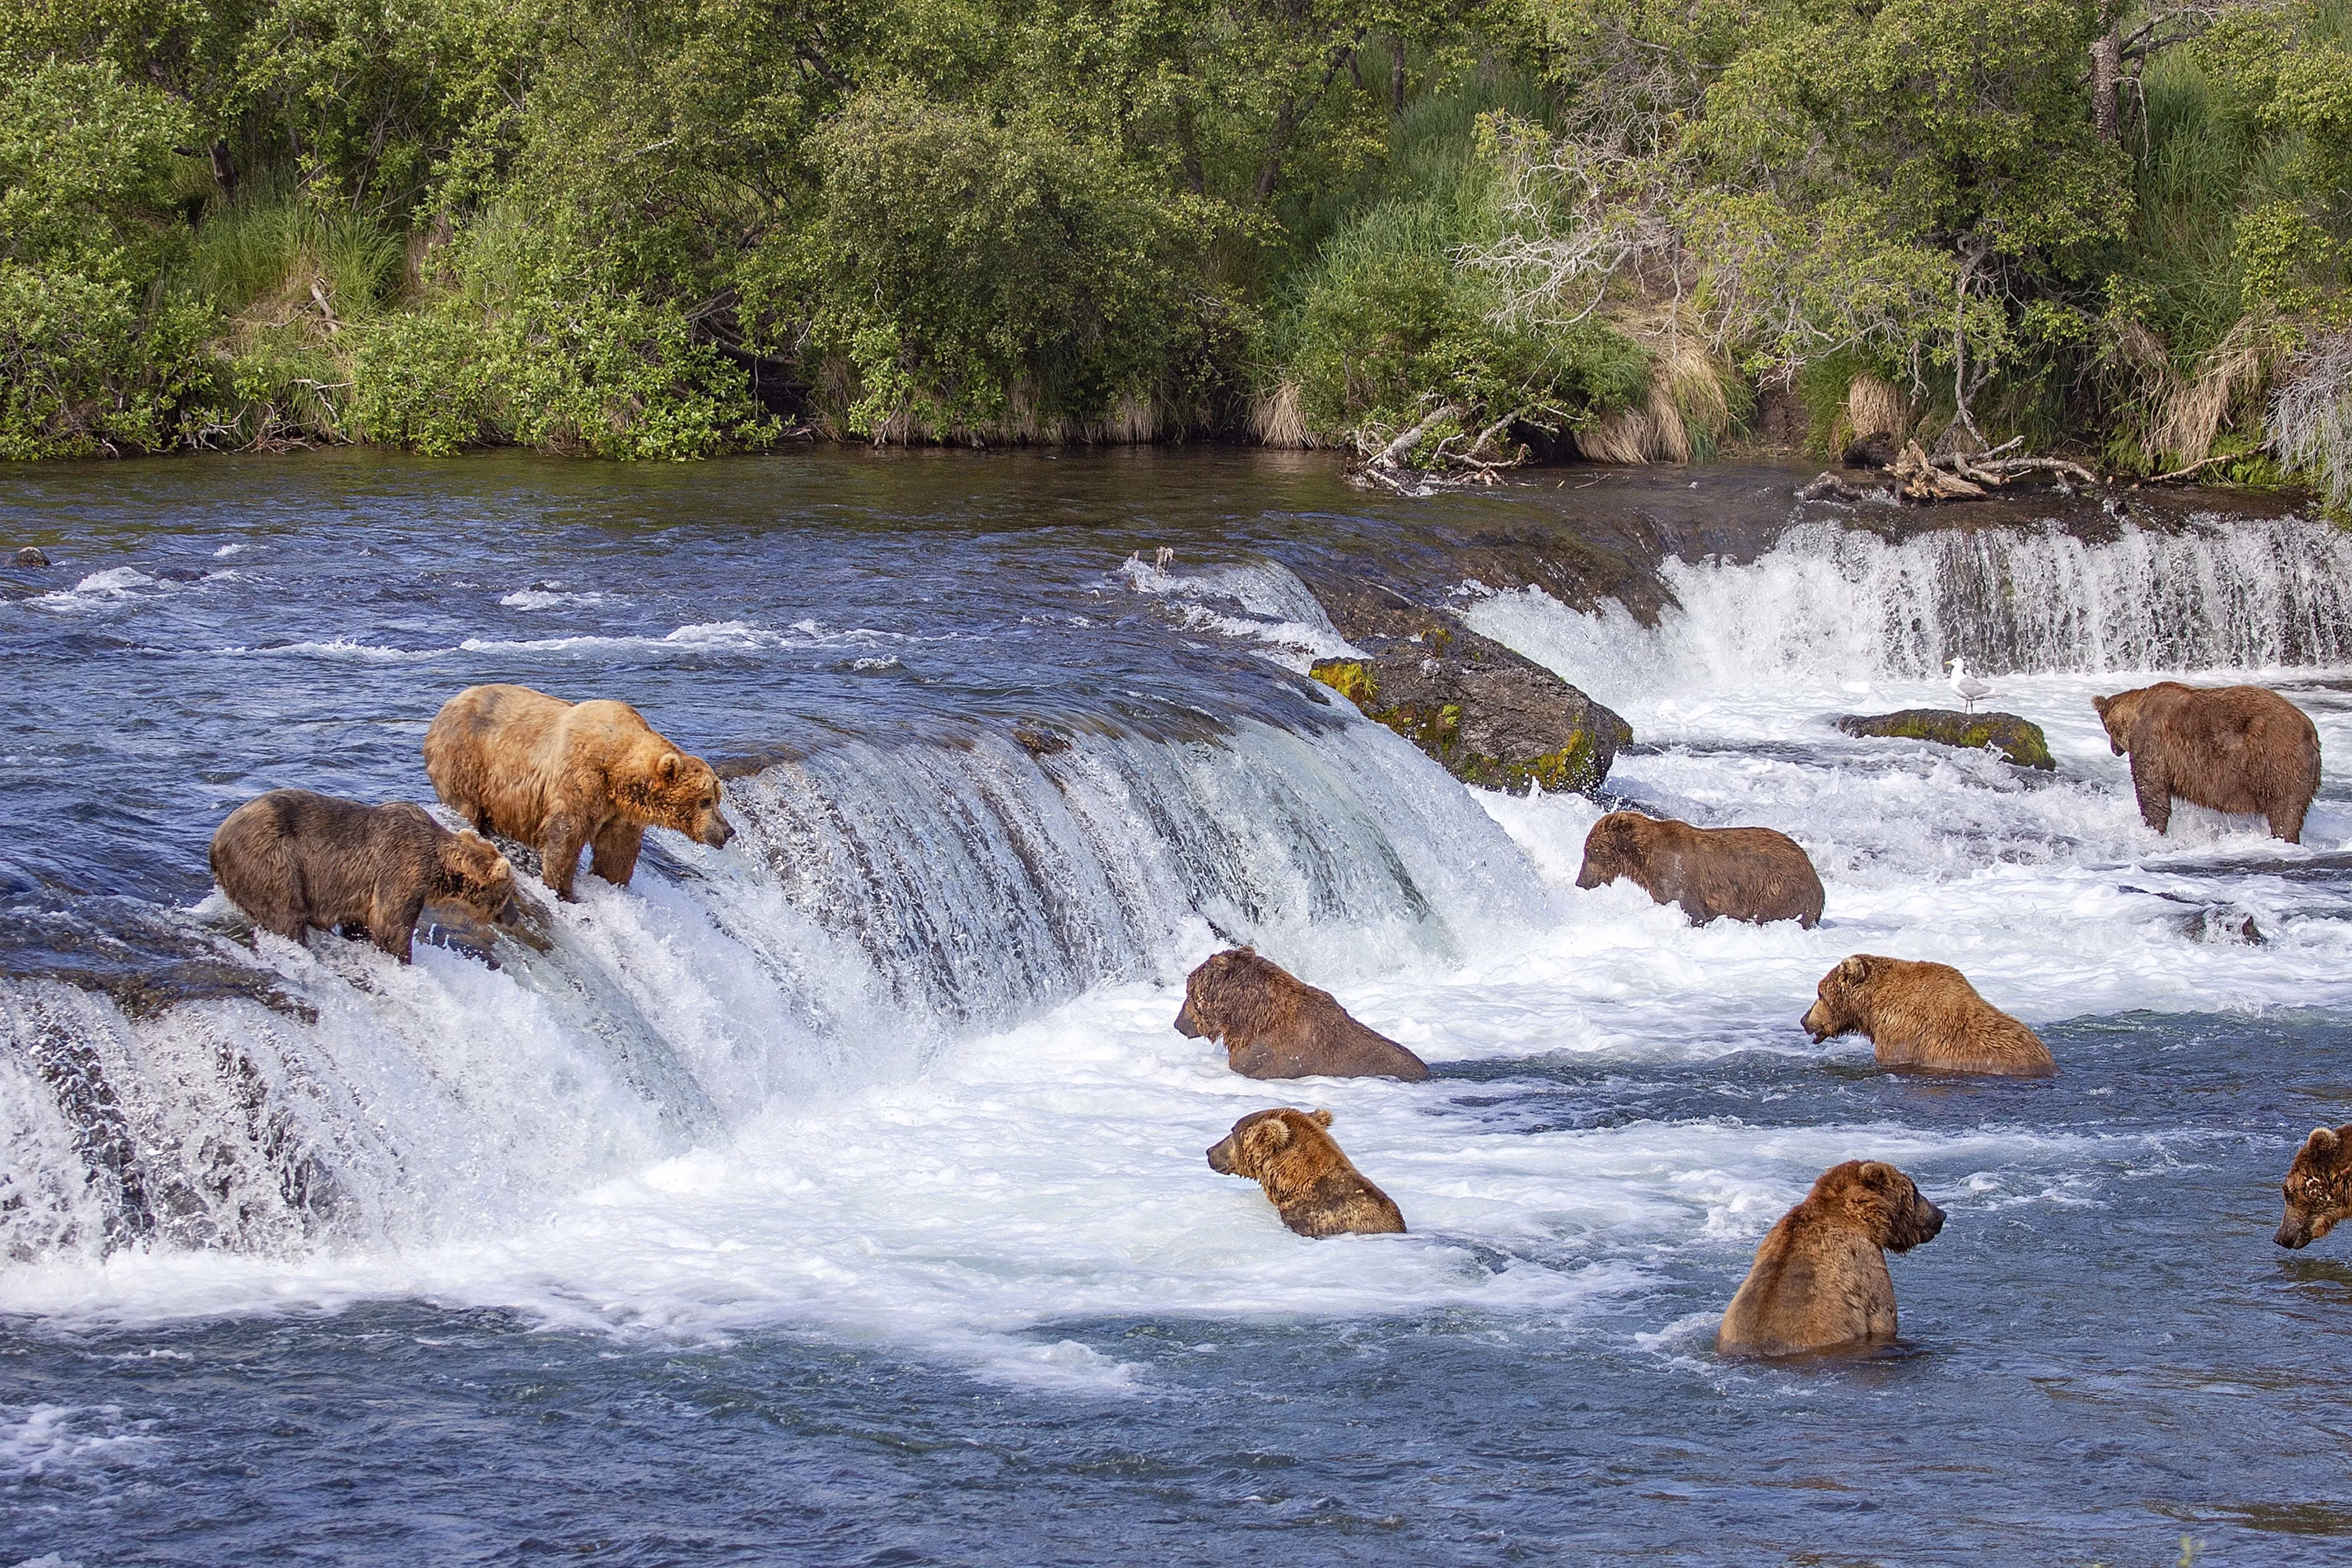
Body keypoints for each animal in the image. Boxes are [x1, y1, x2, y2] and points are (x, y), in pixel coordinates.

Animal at [209, 789, 516, 964]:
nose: (514, 917)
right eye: (510, 892)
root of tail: (215, 841)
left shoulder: (362, 892)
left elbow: (361, 924)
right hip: (273, 860)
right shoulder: (402, 869)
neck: (438, 868)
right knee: (285, 914)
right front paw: (402, 957)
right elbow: (390, 926)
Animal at [421, 683, 735, 901]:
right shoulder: (580, 780)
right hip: (466, 761)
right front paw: (562, 889)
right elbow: (565, 835)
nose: (728, 830)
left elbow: (617, 850)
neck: (617, 771)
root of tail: (446, 706)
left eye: (717, 800)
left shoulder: (618, 812)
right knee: (465, 803)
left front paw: (612, 881)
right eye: (705, 801)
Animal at [1575, 811, 1826, 928]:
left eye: (1589, 850)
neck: (1642, 859)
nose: (1581, 882)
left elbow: (1692, 911)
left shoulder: (1679, 879)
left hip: (1779, 889)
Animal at [2092, 682, 2320, 844]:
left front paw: (2153, 828)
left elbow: (2152, 792)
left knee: (2285, 811)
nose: (2114, 749)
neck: (2135, 715)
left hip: (2276, 763)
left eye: (2106, 727)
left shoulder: (2152, 742)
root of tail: (2312, 734)